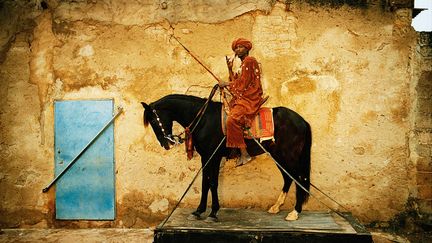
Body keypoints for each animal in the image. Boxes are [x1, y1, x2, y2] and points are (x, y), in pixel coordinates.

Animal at [142, 93, 310, 222]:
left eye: (153, 120)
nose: (166, 144)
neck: (204, 119)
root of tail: (302, 121)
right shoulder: (205, 157)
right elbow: (205, 183)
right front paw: (198, 211)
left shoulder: (214, 157)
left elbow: (213, 183)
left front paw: (213, 213)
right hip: (278, 155)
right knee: (288, 178)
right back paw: (276, 207)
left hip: (289, 156)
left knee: (298, 179)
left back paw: (295, 212)